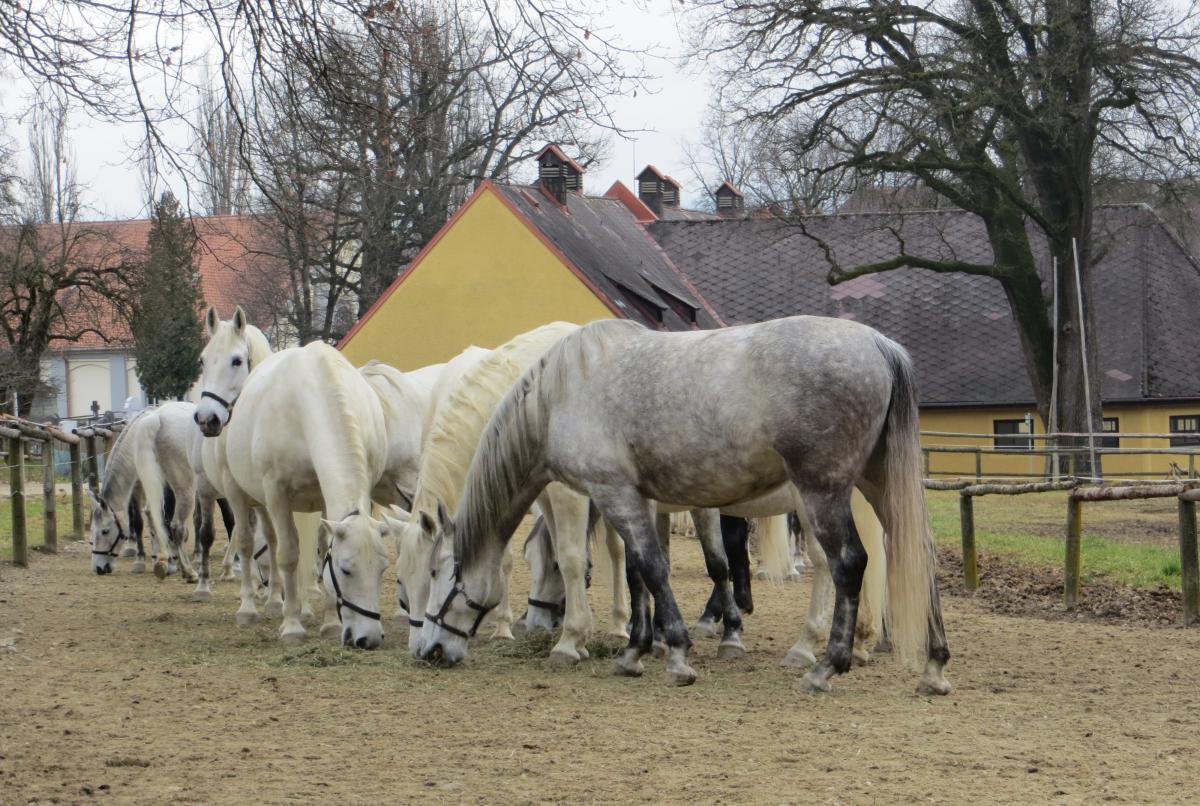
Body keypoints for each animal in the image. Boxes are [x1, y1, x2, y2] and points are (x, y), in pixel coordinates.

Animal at [87, 400, 198, 580]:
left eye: (105, 531)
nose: (98, 568)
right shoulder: (140, 487)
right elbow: (142, 521)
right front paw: (147, 560)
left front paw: (166, 559)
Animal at [417, 314, 950, 690]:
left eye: (439, 573)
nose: (428, 651)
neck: (561, 395)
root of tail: (879, 346)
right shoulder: (638, 500)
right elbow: (638, 572)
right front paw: (634, 651)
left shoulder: (613, 494)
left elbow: (652, 570)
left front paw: (674, 654)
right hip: (877, 488)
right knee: (914, 555)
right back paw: (933, 668)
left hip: (824, 493)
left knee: (848, 564)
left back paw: (826, 665)